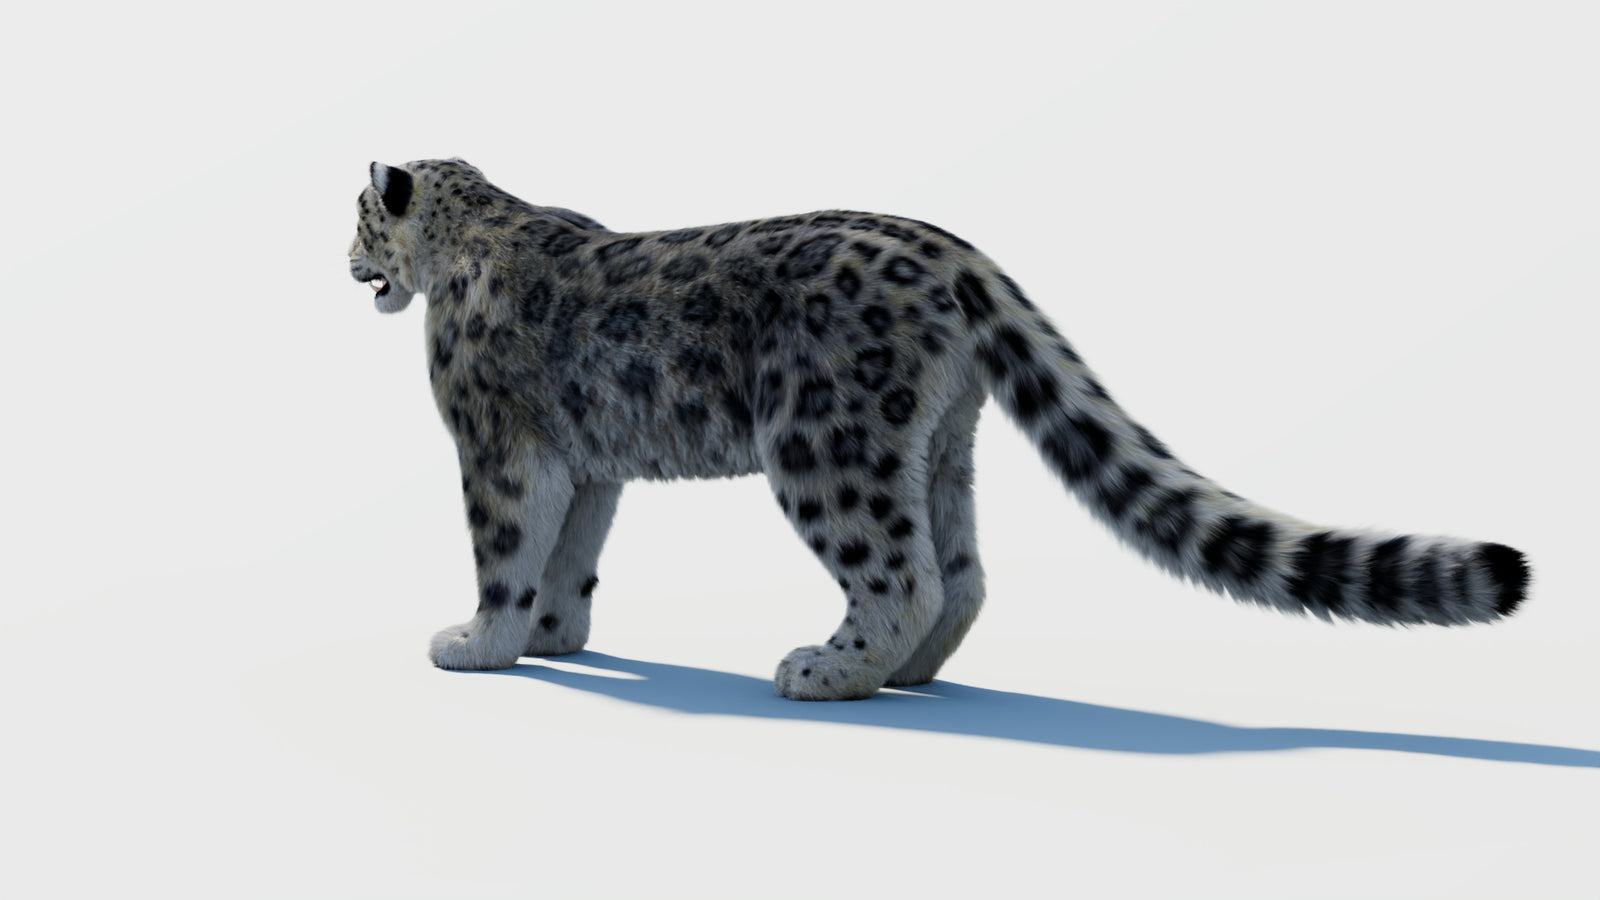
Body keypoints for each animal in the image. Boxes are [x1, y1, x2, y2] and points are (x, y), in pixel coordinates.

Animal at [348, 158, 1530, 701]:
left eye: (357, 218)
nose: (345, 262)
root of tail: (955, 251)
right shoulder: (589, 464)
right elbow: (572, 555)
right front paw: (556, 636)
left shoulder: (498, 449)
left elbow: (509, 550)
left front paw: (476, 645)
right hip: (931, 444)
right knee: (958, 569)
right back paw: (910, 672)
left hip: (823, 443)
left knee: (898, 570)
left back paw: (826, 671)